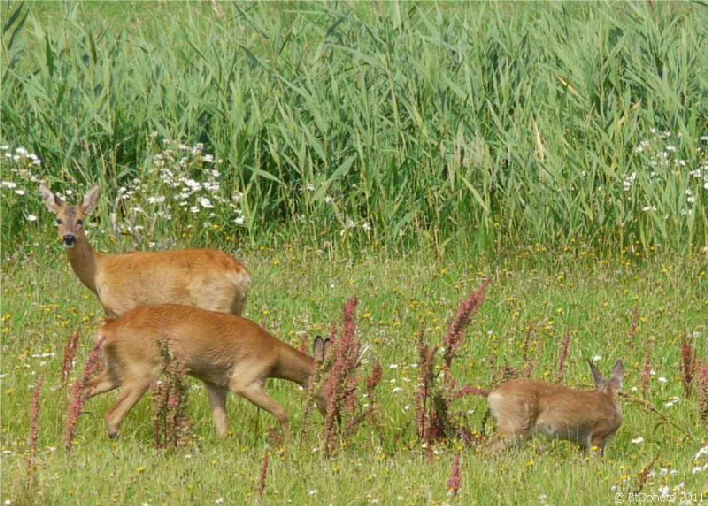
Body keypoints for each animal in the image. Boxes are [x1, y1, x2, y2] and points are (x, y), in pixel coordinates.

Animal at [38, 182, 252, 316]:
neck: (99, 272)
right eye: (58, 220)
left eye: (80, 221)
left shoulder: (122, 306)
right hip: (236, 305)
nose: (69, 238)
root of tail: (241, 273)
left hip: (215, 301)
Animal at [84, 302, 334, 440]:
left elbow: (223, 427)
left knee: (84, 389)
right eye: (331, 387)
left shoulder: (215, 384)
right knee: (113, 414)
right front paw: (291, 445)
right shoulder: (245, 381)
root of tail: (108, 328)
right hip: (141, 373)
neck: (275, 353)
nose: (335, 417)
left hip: (116, 371)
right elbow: (282, 412)